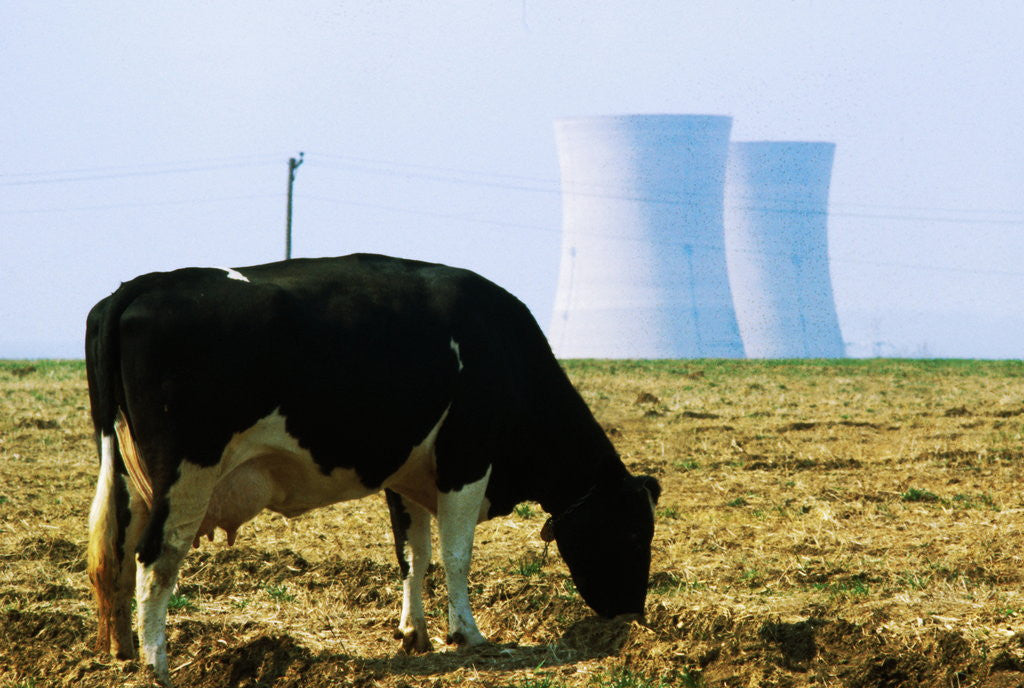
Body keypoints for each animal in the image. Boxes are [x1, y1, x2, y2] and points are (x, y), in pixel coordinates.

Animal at [85, 253, 660, 685]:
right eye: (635, 534)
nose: (633, 614)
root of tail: (142, 285)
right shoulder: (466, 461)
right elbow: (455, 554)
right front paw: (468, 635)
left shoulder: (405, 476)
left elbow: (413, 554)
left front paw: (414, 634)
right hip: (187, 473)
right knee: (155, 559)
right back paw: (157, 665)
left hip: (131, 478)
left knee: (116, 556)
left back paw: (123, 651)